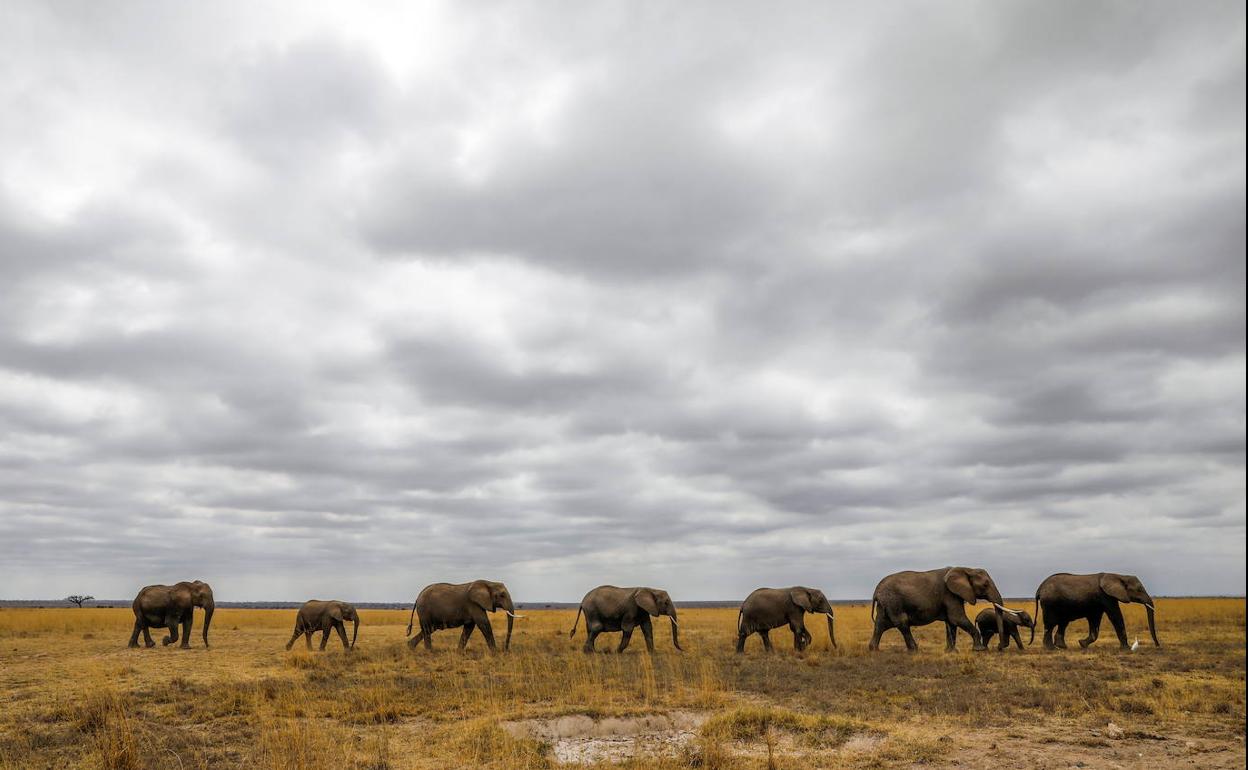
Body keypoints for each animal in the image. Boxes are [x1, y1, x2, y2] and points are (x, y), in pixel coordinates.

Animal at [868, 564, 1013, 648]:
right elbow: (957, 618)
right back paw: (914, 650)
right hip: (894, 602)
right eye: (985, 585)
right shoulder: (950, 594)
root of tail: (876, 591)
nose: (1000, 646)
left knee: (880, 625)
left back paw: (873, 649)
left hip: (886, 603)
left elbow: (951, 623)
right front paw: (979, 650)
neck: (966, 569)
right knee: (902, 623)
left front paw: (951, 651)